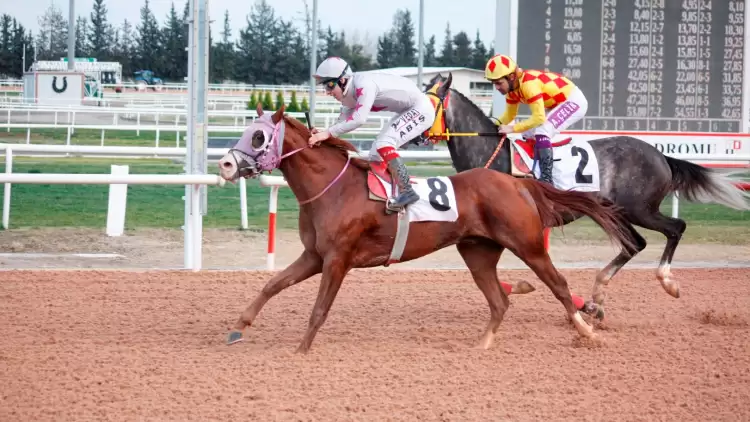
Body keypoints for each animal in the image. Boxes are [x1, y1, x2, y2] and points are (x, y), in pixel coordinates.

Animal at [219, 104, 640, 352]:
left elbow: (319, 308)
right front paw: (238, 327)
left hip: (529, 245)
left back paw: (586, 330)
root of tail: (518, 183)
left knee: (559, 285)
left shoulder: (337, 259)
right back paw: (481, 345)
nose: (225, 164)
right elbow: (272, 285)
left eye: (258, 135)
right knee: (499, 302)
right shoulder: (314, 255)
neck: (334, 188)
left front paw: (301, 352)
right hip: (477, 252)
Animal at [424, 73, 750, 316]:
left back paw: (667, 282)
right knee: (635, 244)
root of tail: (660, 156)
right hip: (615, 211)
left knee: (675, 228)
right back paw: (597, 297)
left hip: (639, 209)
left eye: (425, 103)